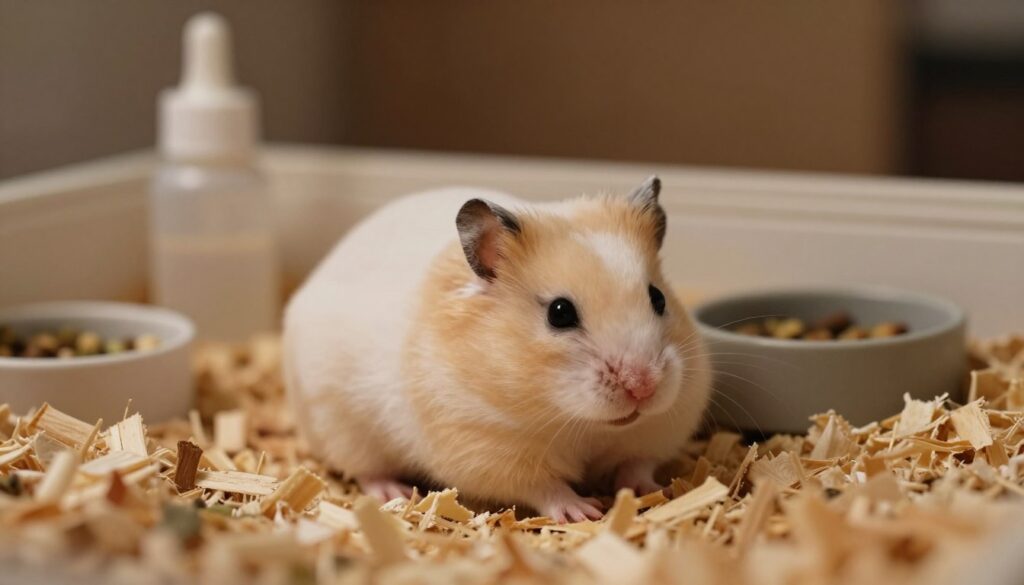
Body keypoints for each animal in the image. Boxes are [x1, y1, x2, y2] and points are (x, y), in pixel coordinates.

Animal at [283, 176, 710, 522]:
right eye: (559, 313)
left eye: (658, 298)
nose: (643, 387)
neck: (581, 425)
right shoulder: (486, 446)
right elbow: (544, 487)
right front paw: (585, 511)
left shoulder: (660, 425)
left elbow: (637, 464)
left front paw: (653, 492)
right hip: (341, 427)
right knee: (366, 470)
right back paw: (395, 492)